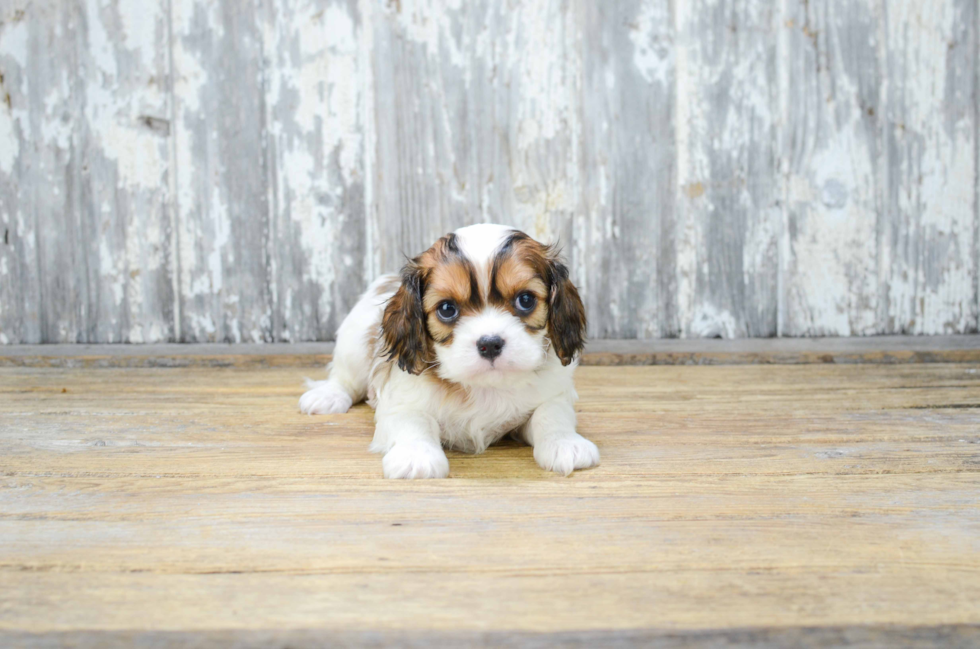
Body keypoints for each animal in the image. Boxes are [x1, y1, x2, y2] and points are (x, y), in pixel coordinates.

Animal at [298, 225, 596, 478]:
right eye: (447, 309)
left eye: (525, 300)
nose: (490, 343)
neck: (484, 387)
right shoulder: (401, 400)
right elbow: (413, 421)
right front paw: (416, 455)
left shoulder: (554, 394)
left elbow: (551, 414)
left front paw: (566, 444)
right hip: (353, 346)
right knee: (345, 379)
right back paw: (328, 396)